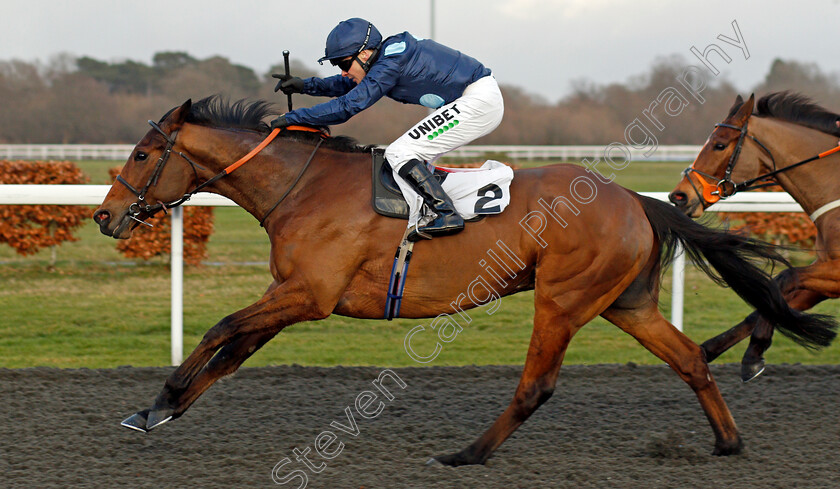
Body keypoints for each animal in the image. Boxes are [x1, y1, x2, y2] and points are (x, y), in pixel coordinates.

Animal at [672, 92, 840, 382]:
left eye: (719, 145)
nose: (679, 196)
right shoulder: (827, 278)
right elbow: (769, 303)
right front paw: (710, 348)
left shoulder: (836, 271)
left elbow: (785, 278)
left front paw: (754, 351)